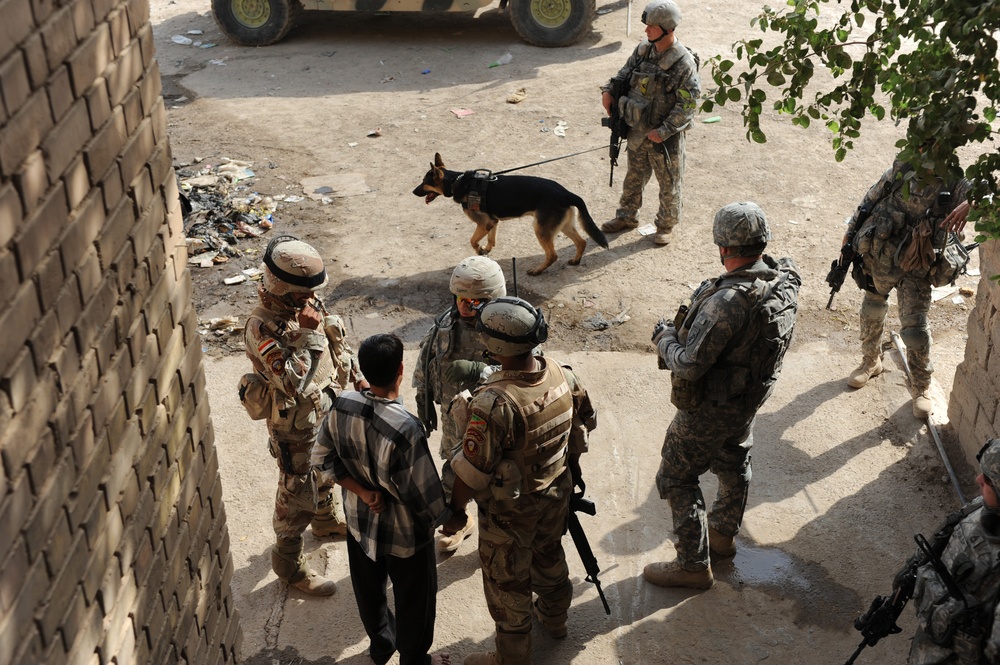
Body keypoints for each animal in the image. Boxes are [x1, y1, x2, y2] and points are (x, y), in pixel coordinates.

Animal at [414, 152, 608, 274]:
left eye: (424, 182)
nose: (413, 192)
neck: (457, 181)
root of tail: (566, 193)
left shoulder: (483, 223)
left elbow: (472, 241)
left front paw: (479, 250)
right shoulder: (492, 222)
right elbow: (491, 238)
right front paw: (487, 249)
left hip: (541, 230)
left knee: (553, 255)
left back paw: (537, 271)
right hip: (562, 225)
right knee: (581, 242)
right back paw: (575, 261)